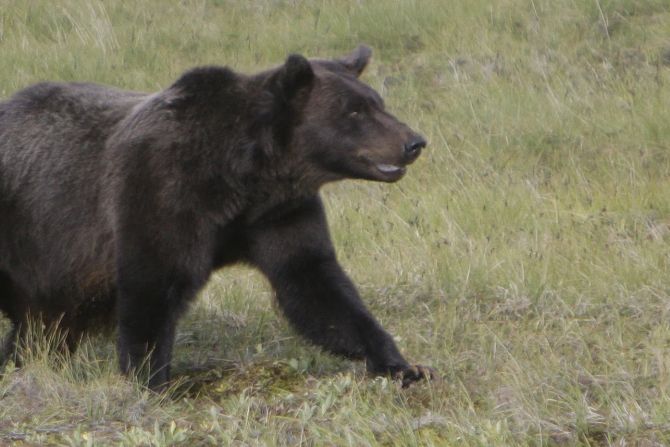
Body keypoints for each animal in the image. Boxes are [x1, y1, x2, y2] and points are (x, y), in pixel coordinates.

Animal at [0, 45, 433, 389]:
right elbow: (153, 284)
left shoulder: (278, 214)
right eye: (355, 111)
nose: (414, 142)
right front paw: (151, 380)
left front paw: (402, 365)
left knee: (40, 330)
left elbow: (316, 284)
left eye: (377, 102)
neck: (243, 176)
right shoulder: (161, 192)